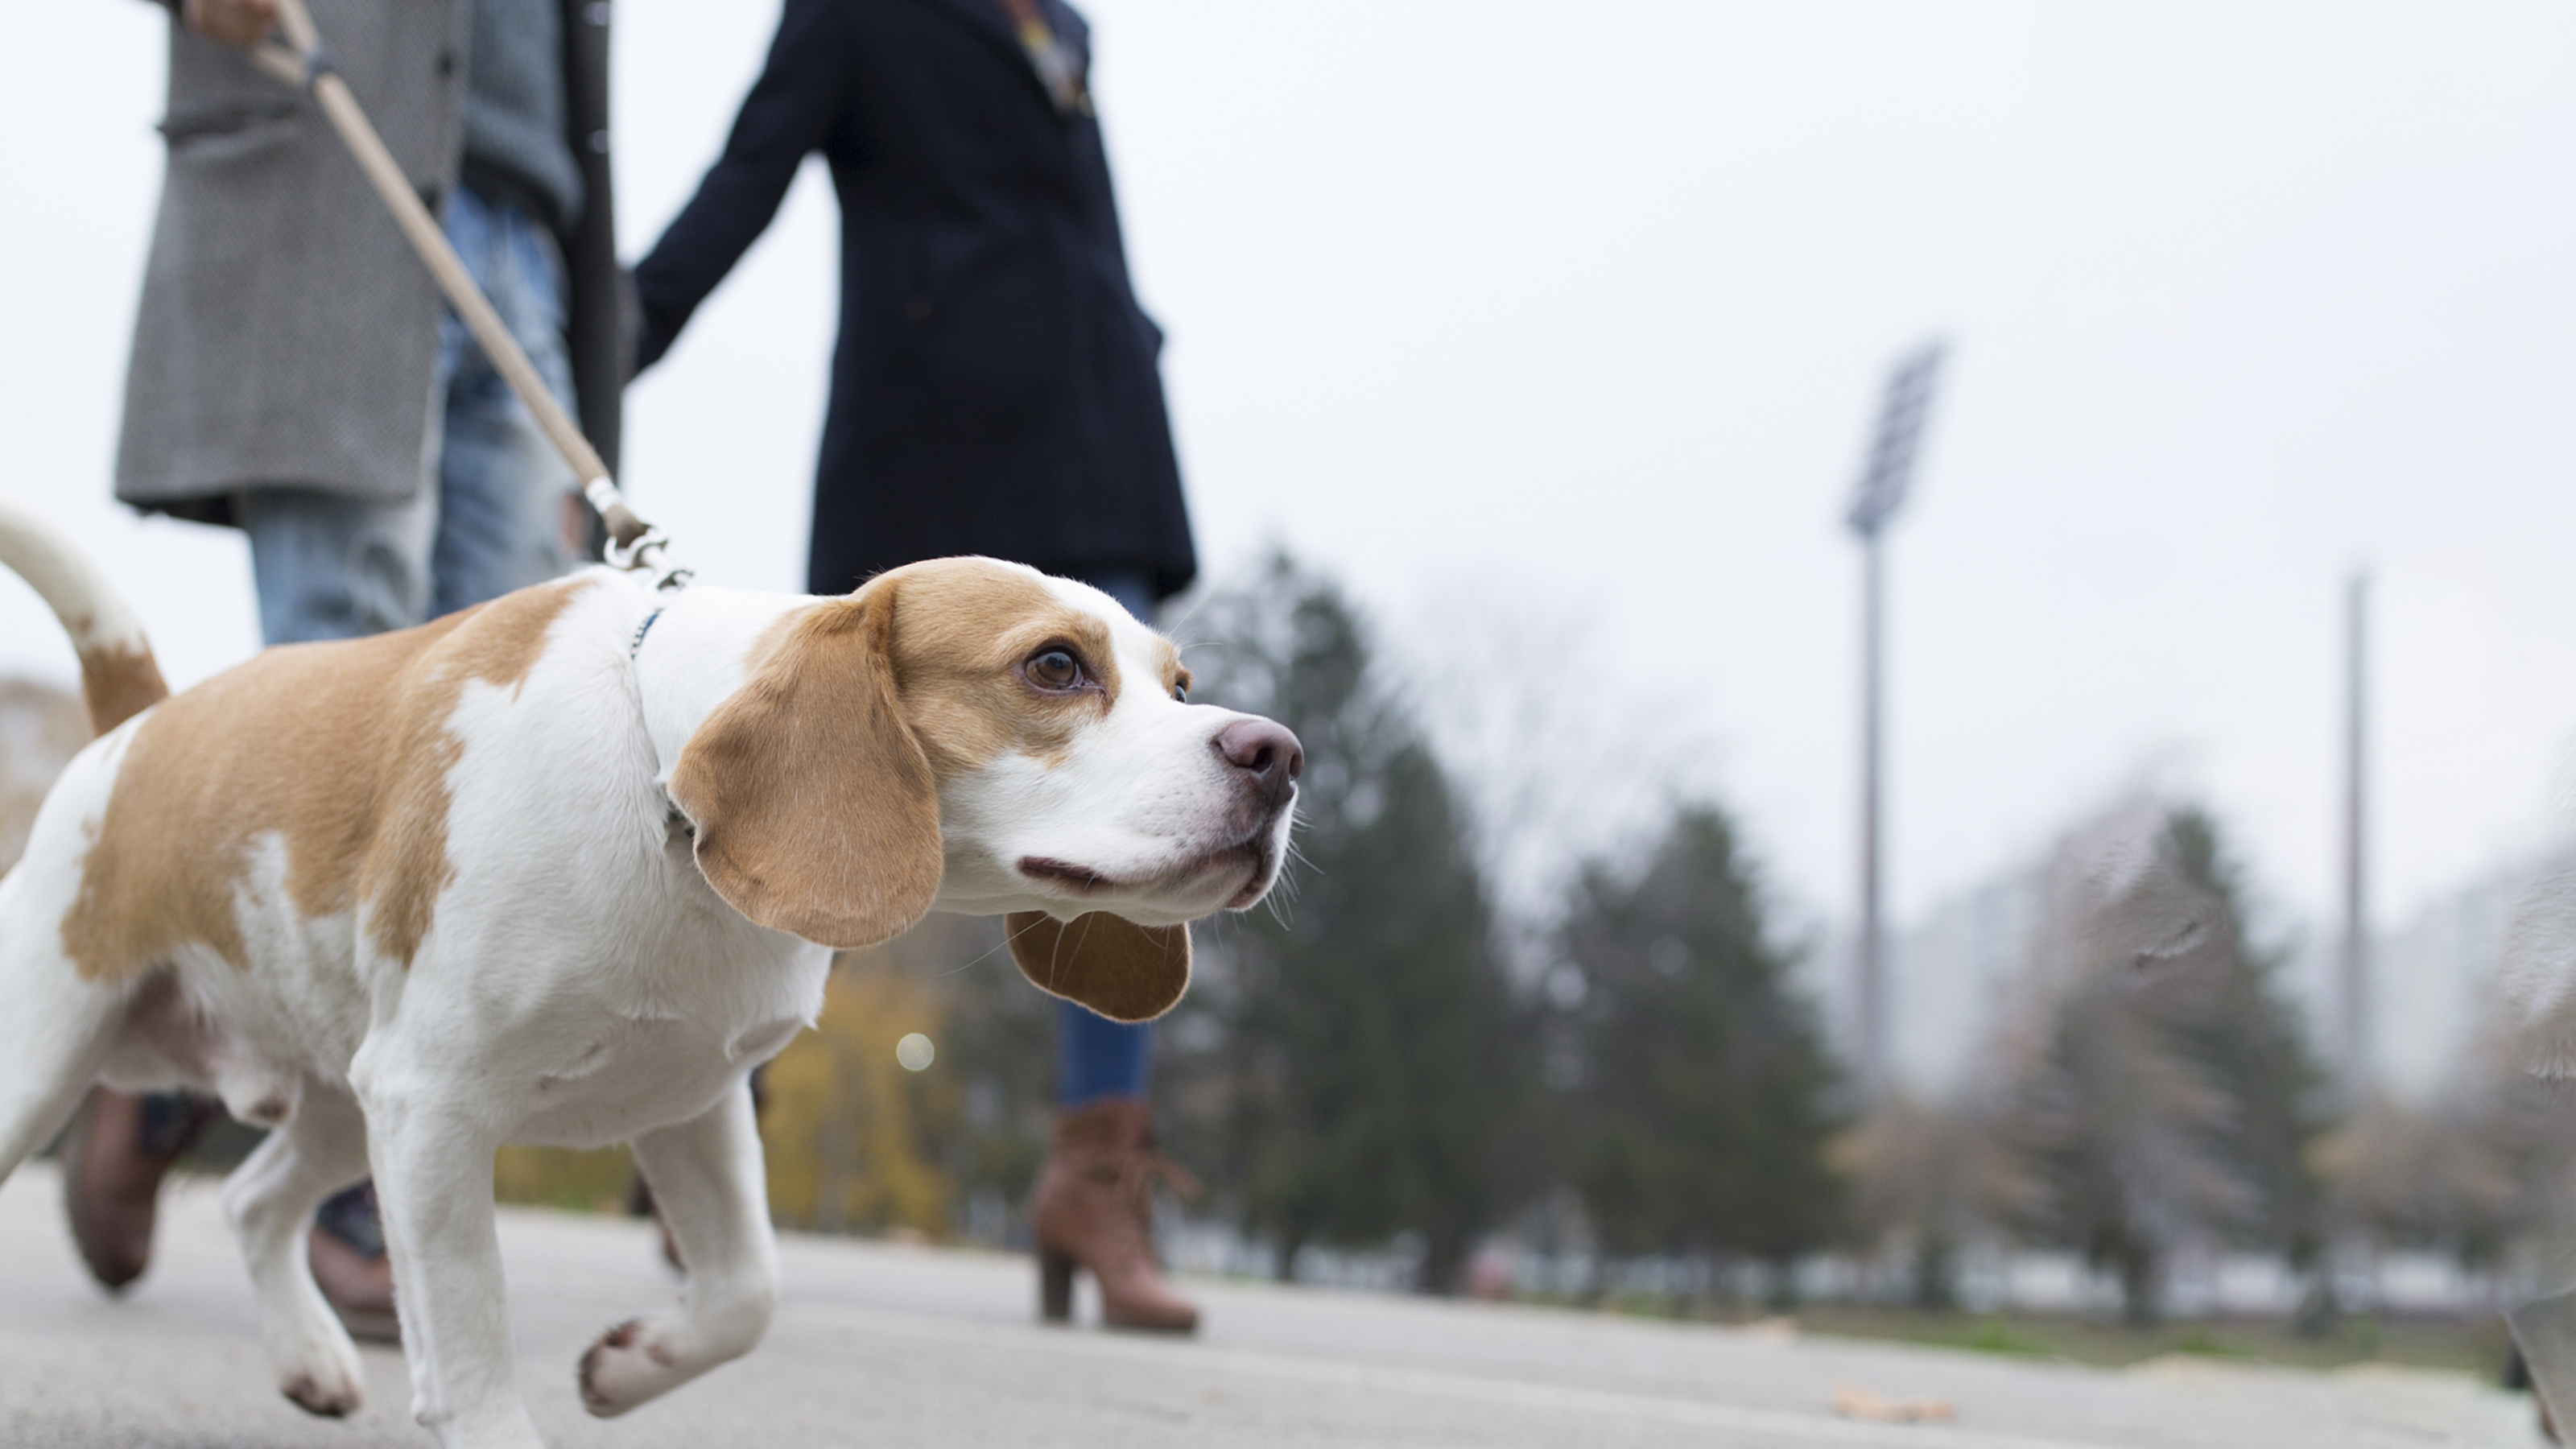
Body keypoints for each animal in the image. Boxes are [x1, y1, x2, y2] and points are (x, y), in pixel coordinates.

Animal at [0, 500, 1298, 1443]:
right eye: (1054, 668)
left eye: (1180, 686)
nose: (1280, 757)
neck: (662, 796)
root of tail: (141, 726)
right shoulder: (436, 1109)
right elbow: (470, 1347)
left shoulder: (689, 1099)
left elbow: (745, 1296)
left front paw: (634, 1365)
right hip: (64, 1070)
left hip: (340, 1100)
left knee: (253, 1199)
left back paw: (310, 1355)